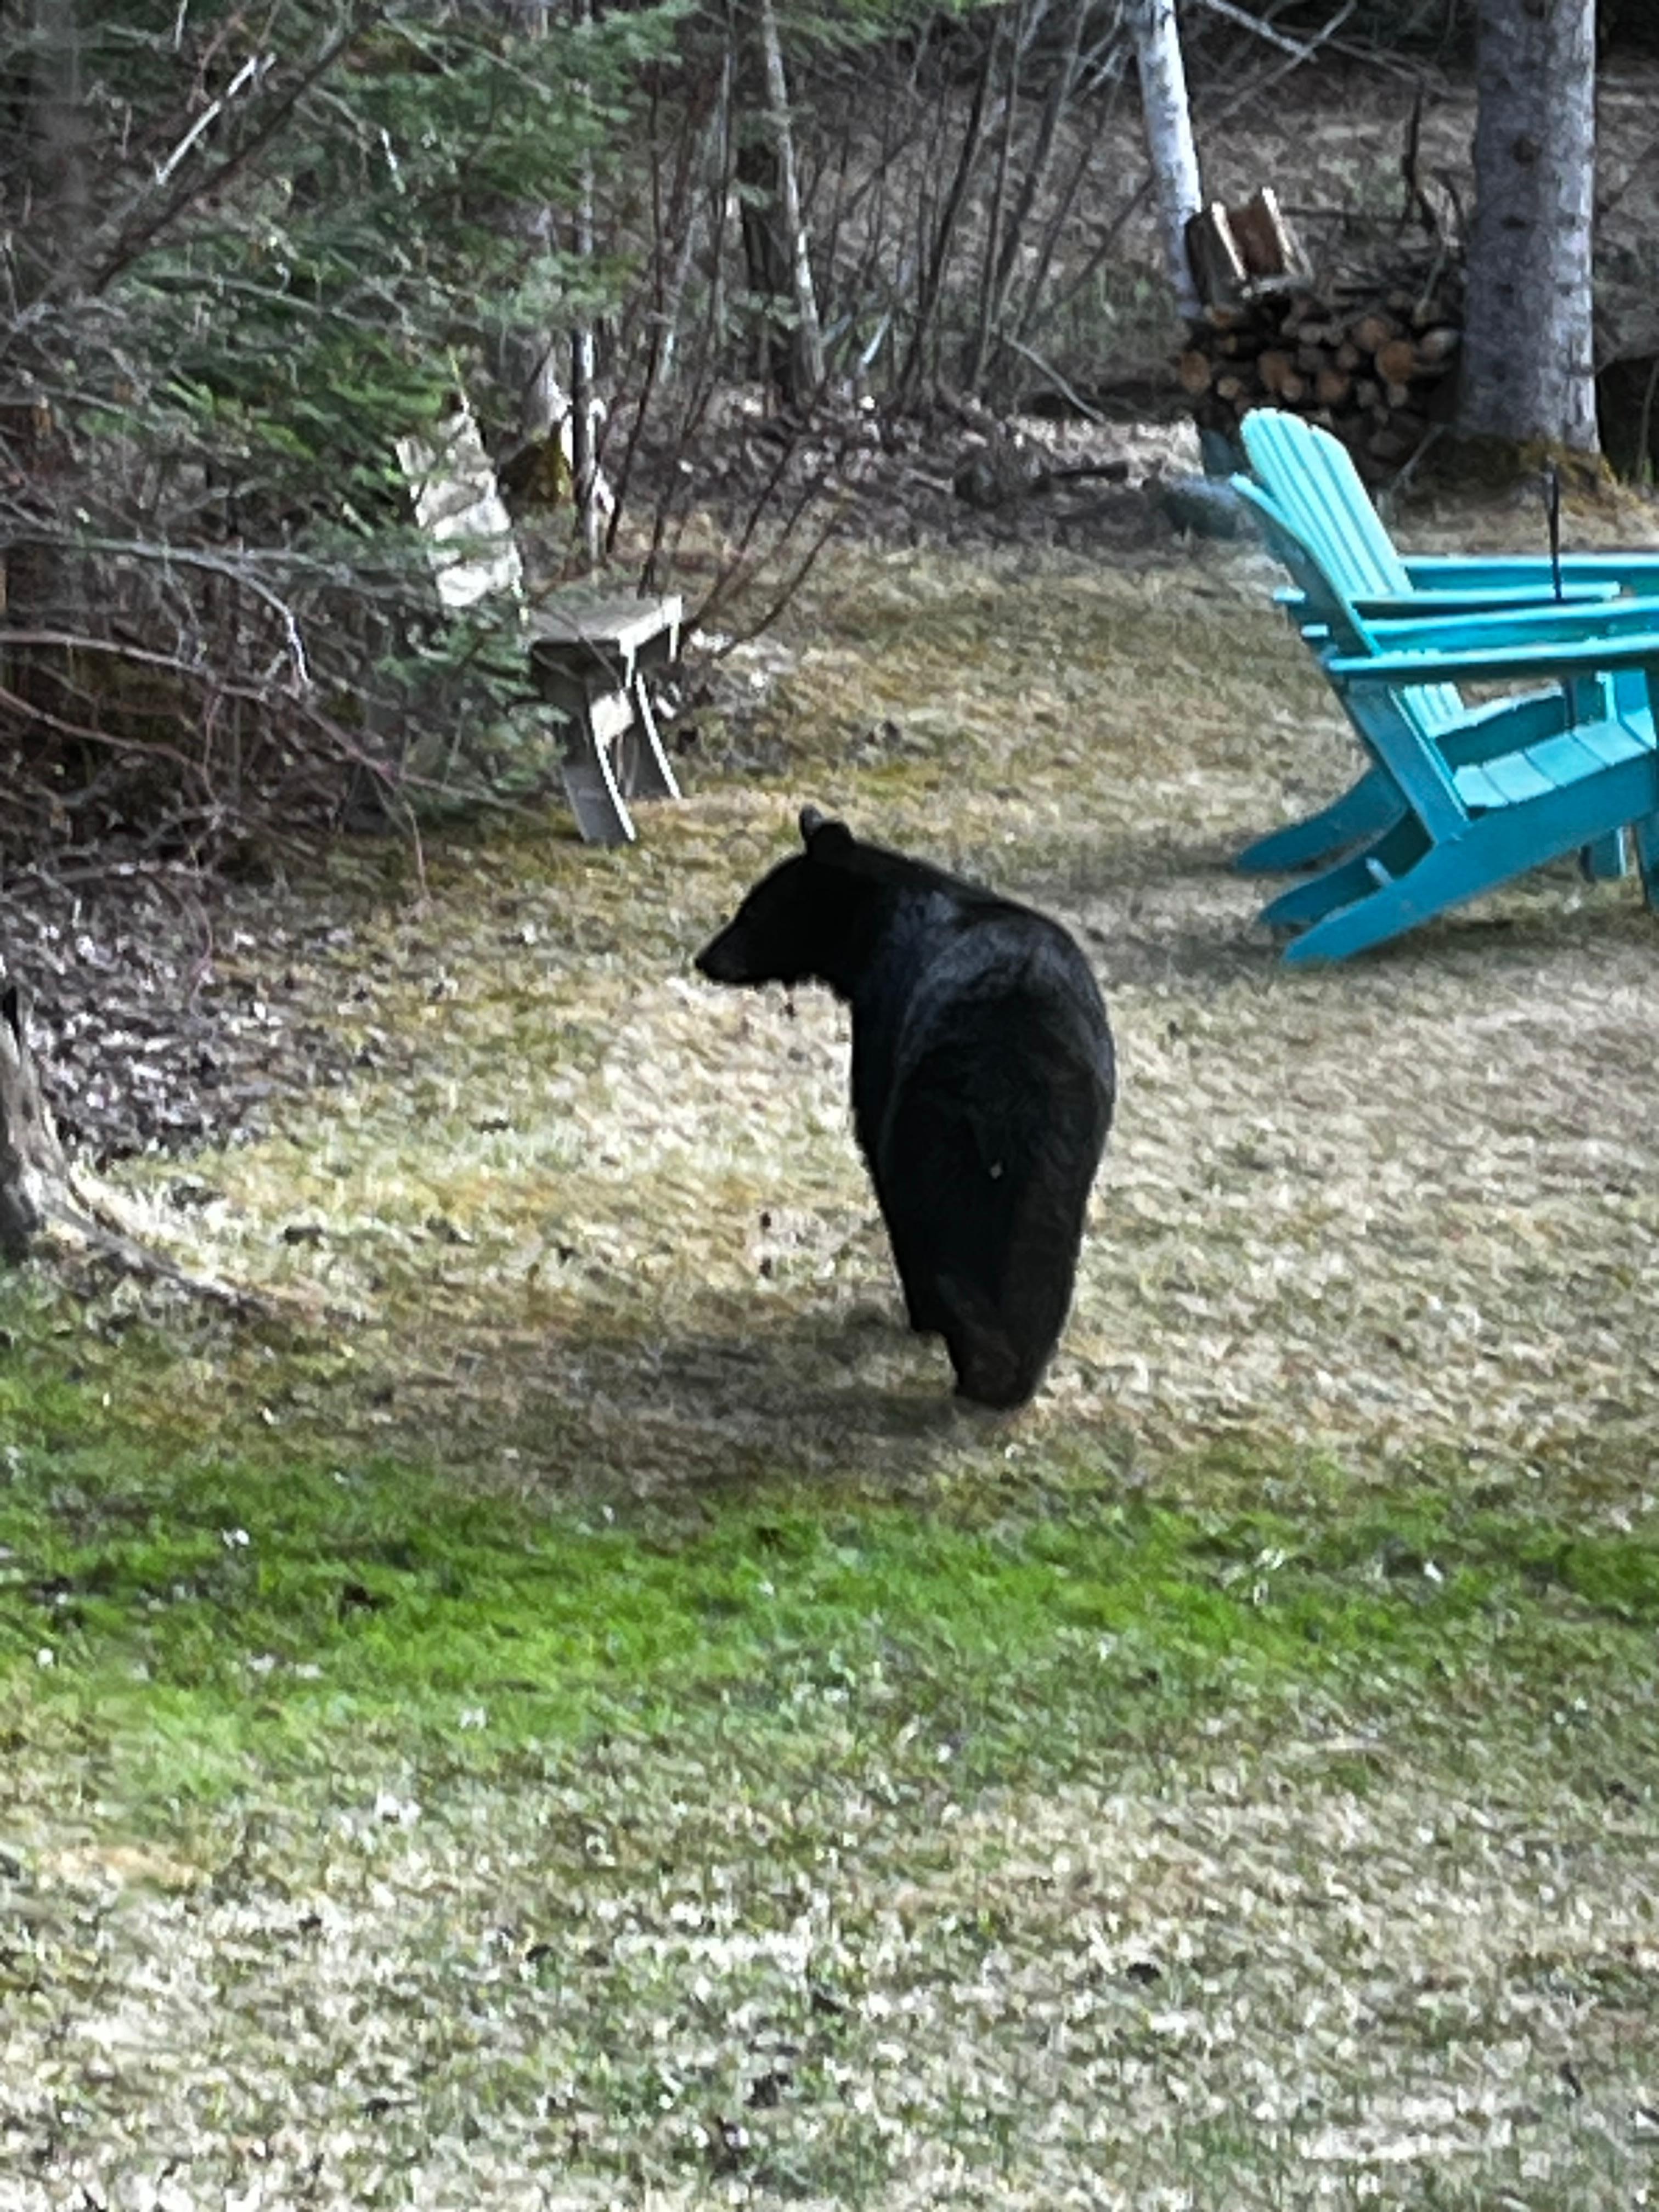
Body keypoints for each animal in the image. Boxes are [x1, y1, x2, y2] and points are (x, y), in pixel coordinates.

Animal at [695, 807, 1116, 1409]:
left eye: (753, 910)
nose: (706, 957)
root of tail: (1009, 1059)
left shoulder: (883, 1027)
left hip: (932, 1118)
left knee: (923, 1217)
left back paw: (961, 1346)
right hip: (1064, 1147)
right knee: (1042, 1254)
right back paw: (1015, 1374)